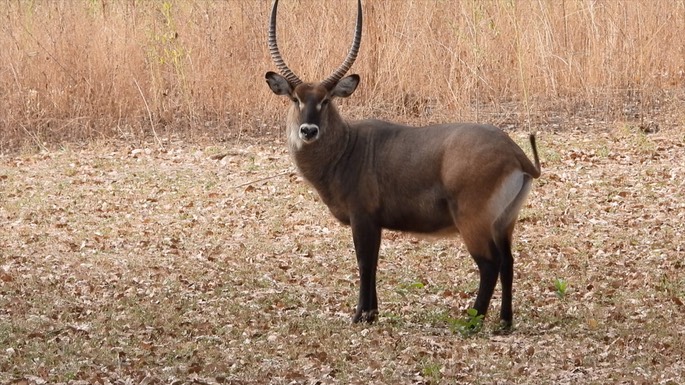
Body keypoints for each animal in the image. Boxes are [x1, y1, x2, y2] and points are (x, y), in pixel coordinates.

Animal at [266, 0, 540, 330]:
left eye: (326, 100)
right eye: (295, 98)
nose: (308, 131)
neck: (347, 148)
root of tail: (516, 153)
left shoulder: (362, 218)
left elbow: (364, 262)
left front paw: (360, 315)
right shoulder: (375, 223)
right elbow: (373, 262)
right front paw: (372, 313)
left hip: (473, 222)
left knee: (490, 264)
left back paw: (472, 322)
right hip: (504, 223)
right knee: (509, 262)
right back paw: (505, 321)